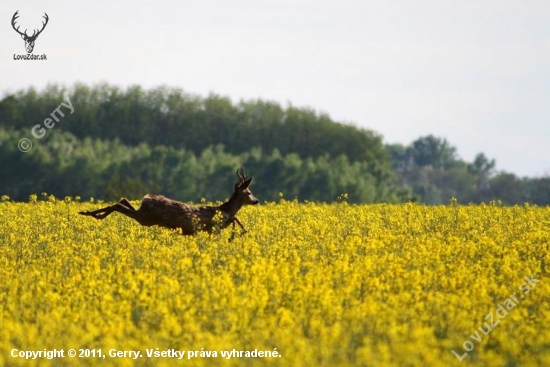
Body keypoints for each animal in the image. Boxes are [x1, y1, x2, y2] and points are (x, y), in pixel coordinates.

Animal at [78, 169, 260, 237]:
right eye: (249, 192)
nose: (256, 200)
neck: (225, 209)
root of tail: (146, 197)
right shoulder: (214, 226)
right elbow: (234, 221)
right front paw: (238, 233)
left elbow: (235, 220)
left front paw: (239, 232)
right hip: (146, 217)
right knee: (119, 205)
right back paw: (91, 214)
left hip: (144, 215)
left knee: (123, 201)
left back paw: (91, 213)